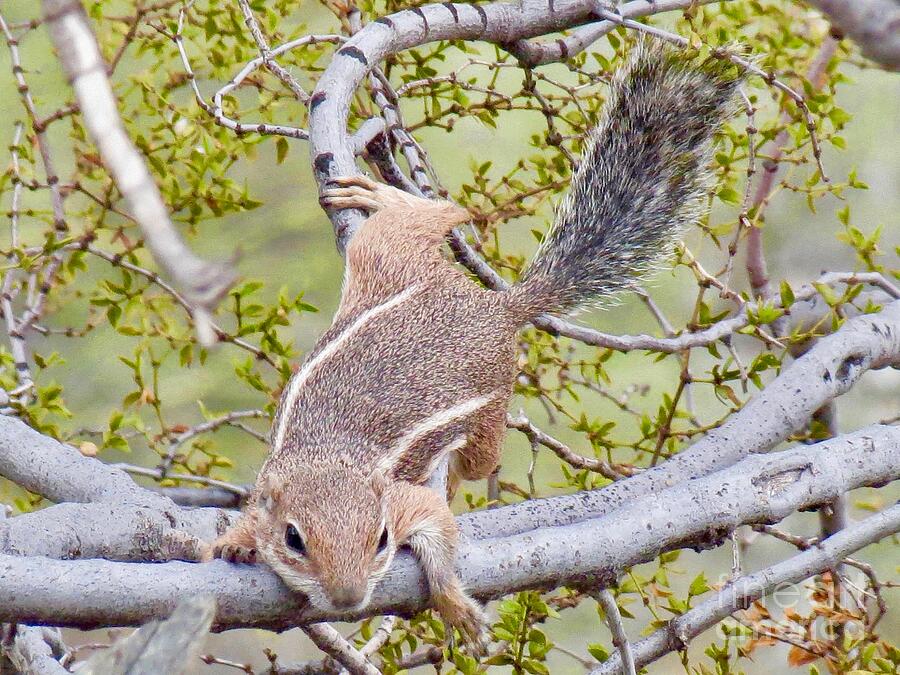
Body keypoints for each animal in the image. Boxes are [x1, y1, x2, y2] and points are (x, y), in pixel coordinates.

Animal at [202, 39, 743, 648]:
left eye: (381, 539)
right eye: (294, 538)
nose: (348, 598)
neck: (332, 454)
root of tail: (496, 307)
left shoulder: (403, 499)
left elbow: (438, 531)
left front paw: (455, 604)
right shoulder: (269, 482)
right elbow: (252, 512)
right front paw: (235, 540)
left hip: (486, 406)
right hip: (385, 258)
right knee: (424, 221)